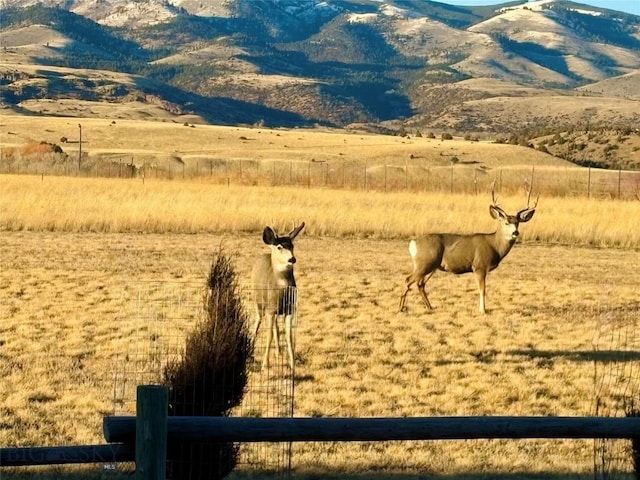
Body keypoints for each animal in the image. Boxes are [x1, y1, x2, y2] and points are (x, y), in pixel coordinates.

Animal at [251, 223, 304, 370]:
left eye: (292, 245)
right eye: (279, 247)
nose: (292, 259)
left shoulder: (290, 309)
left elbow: (289, 336)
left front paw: (292, 364)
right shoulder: (270, 309)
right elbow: (268, 335)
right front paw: (265, 364)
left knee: (276, 327)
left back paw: (279, 352)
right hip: (258, 301)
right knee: (258, 320)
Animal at [398, 185, 536, 316]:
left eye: (518, 223)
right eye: (506, 223)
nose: (515, 233)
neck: (495, 246)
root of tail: (413, 243)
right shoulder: (479, 266)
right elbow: (482, 290)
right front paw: (483, 310)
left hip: (432, 266)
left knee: (420, 284)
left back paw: (429, 307)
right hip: (425, 263)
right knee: (408, 280)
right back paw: (401, 308)